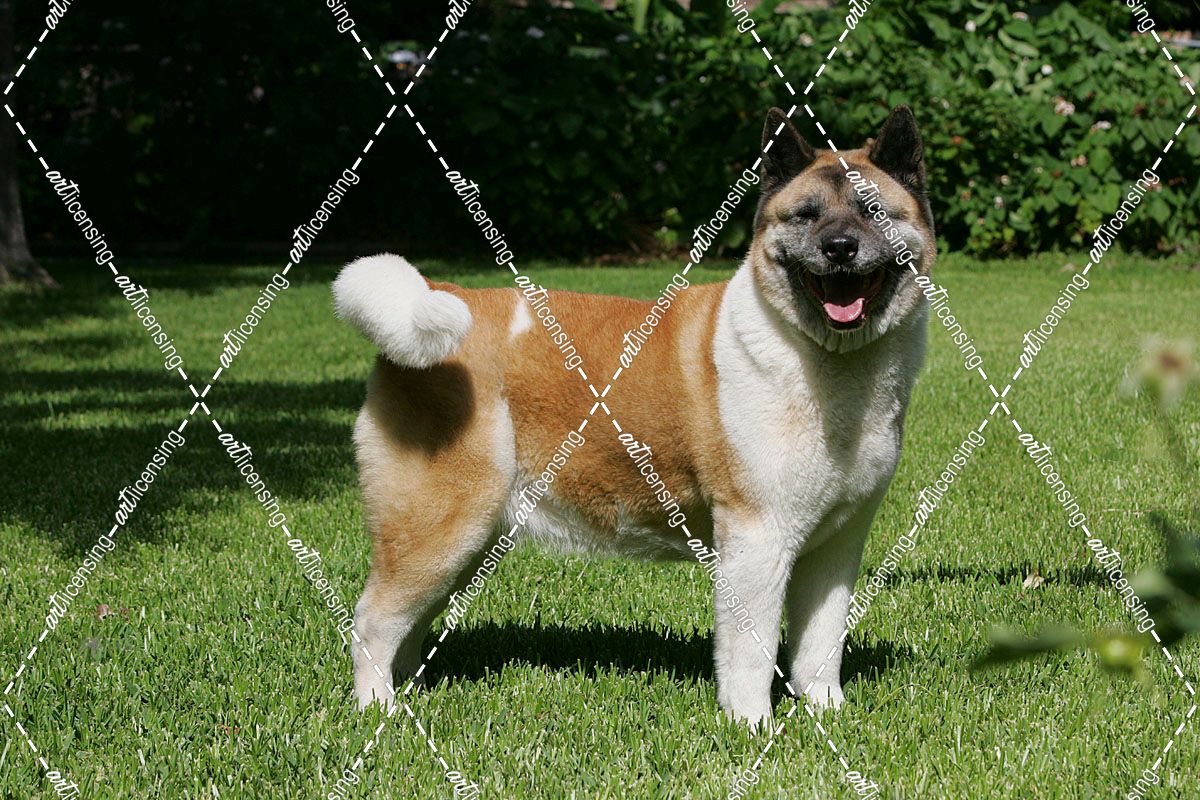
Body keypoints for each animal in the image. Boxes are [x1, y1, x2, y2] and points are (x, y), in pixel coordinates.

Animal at [332, 105, 934, 726]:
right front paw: (752, 726)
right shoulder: (757, 537)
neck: (829, 362)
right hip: (439, 525)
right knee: (373, 623)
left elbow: (820, 643)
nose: (839, 247)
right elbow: (752, 649)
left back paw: (409, 694)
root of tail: (436, 290)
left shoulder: (836, 546)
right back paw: (379, 711)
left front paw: (827, 714)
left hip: (467, 540)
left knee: (407, 628)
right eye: (806, 215)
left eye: (872, 211)